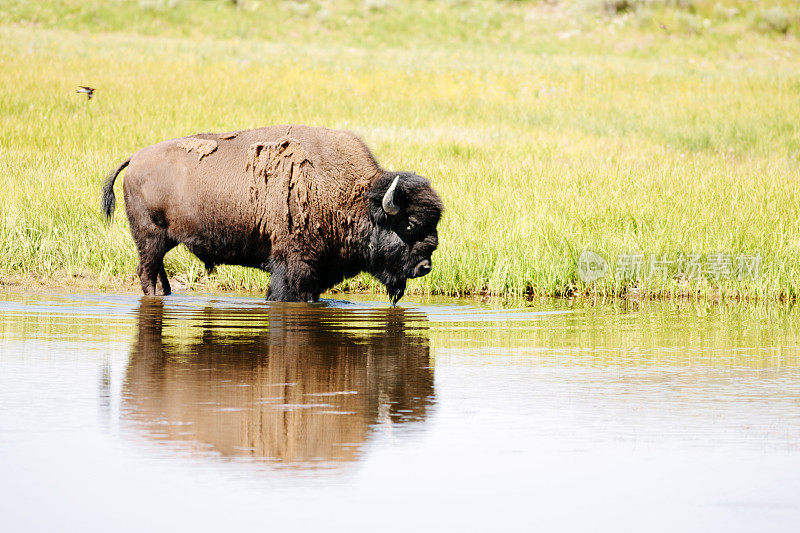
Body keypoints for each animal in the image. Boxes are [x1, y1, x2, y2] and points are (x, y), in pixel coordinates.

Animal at [100, 122, 444, 302]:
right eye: (409, 225)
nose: (425, 266)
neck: (350, 196)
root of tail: (134, 158)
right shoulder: (295, 266)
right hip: (149, 238)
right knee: (146, 272)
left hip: (163, 242)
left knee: (158, 273)